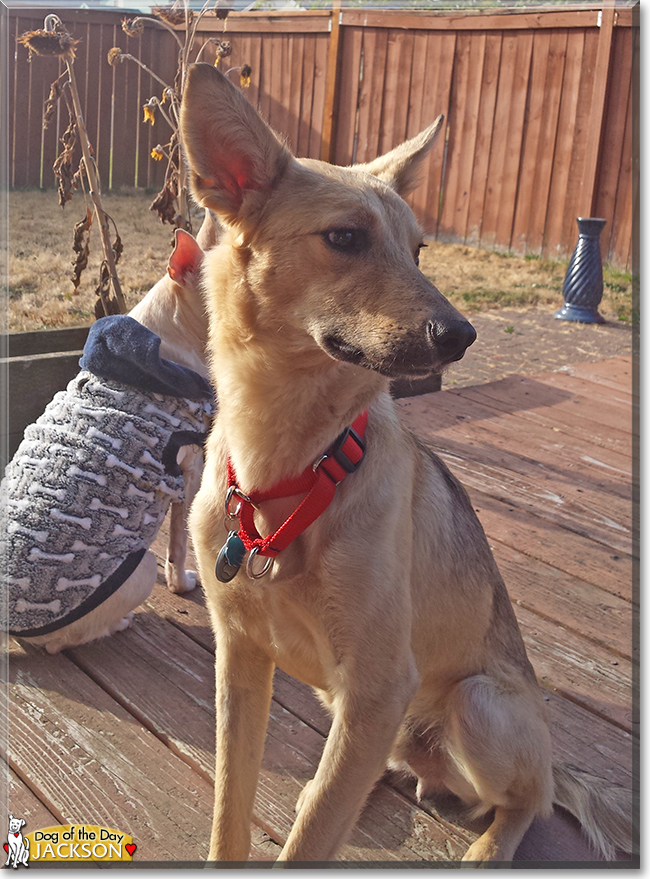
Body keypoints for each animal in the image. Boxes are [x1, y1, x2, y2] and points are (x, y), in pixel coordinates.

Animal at [180, 63, 632, 868]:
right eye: (345, 238)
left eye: (419, 250)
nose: (462, 335)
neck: (291, 463)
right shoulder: (241, 659)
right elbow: (232, 809)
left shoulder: (376, 686)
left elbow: (309, 838)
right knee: (368, 775)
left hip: (477, 705)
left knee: (529, 797)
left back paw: (490, 846)